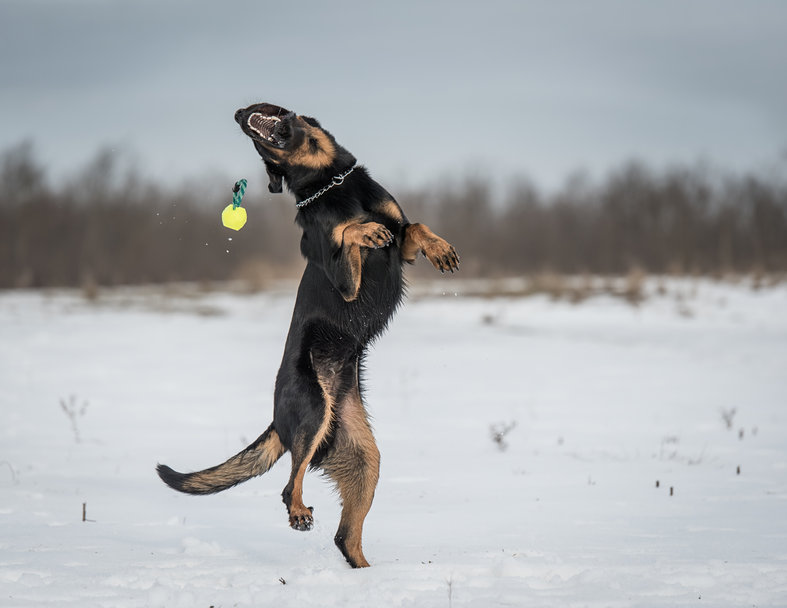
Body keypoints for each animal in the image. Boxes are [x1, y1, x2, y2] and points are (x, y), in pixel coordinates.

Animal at [156, 102, 458, 568]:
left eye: (275, 110)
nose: (239, 111)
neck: (327, 183)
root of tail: (279, 417)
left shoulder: (401, 245)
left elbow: (415, 227)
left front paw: (438, 247)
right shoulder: (345, 281)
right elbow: (346, 234)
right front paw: (362, 230)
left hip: (362, 457)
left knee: (345, 537)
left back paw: (366, 573)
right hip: (314, 408)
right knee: (289, 486)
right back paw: (298, 511)